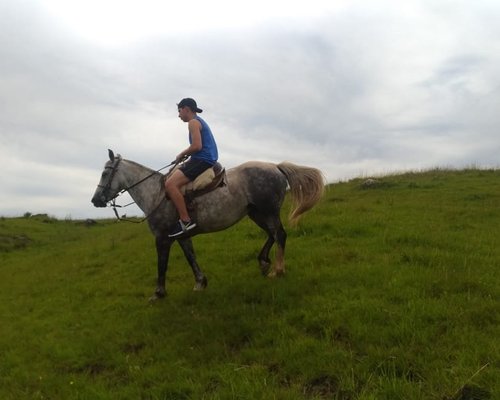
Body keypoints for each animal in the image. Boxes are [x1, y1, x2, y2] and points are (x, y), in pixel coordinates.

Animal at [91, 150, 324, 300]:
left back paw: (278, 269)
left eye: (105, 173)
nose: (95, 200)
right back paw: (264, 261)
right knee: (272, 235)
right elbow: (191, 257)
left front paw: (159, 293)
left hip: (268, 212)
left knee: (280, 235)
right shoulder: (182, 236)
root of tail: (275, 167)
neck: (156, 193)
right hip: (256, 214)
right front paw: (200, 282)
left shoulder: (162, 238)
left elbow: (162, 265)